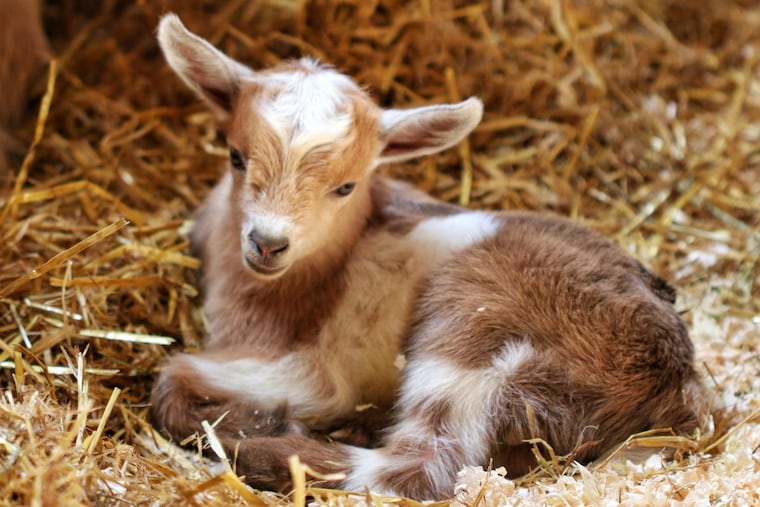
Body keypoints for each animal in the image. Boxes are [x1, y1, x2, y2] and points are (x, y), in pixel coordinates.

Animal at [151, 14, 707, 501]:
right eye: (235, 157)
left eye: (346, 186)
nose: (267, 243)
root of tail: (675, 386)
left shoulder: (318, 369)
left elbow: (174, 377)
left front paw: (259, 421)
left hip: (474, 330)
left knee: (417, 466)